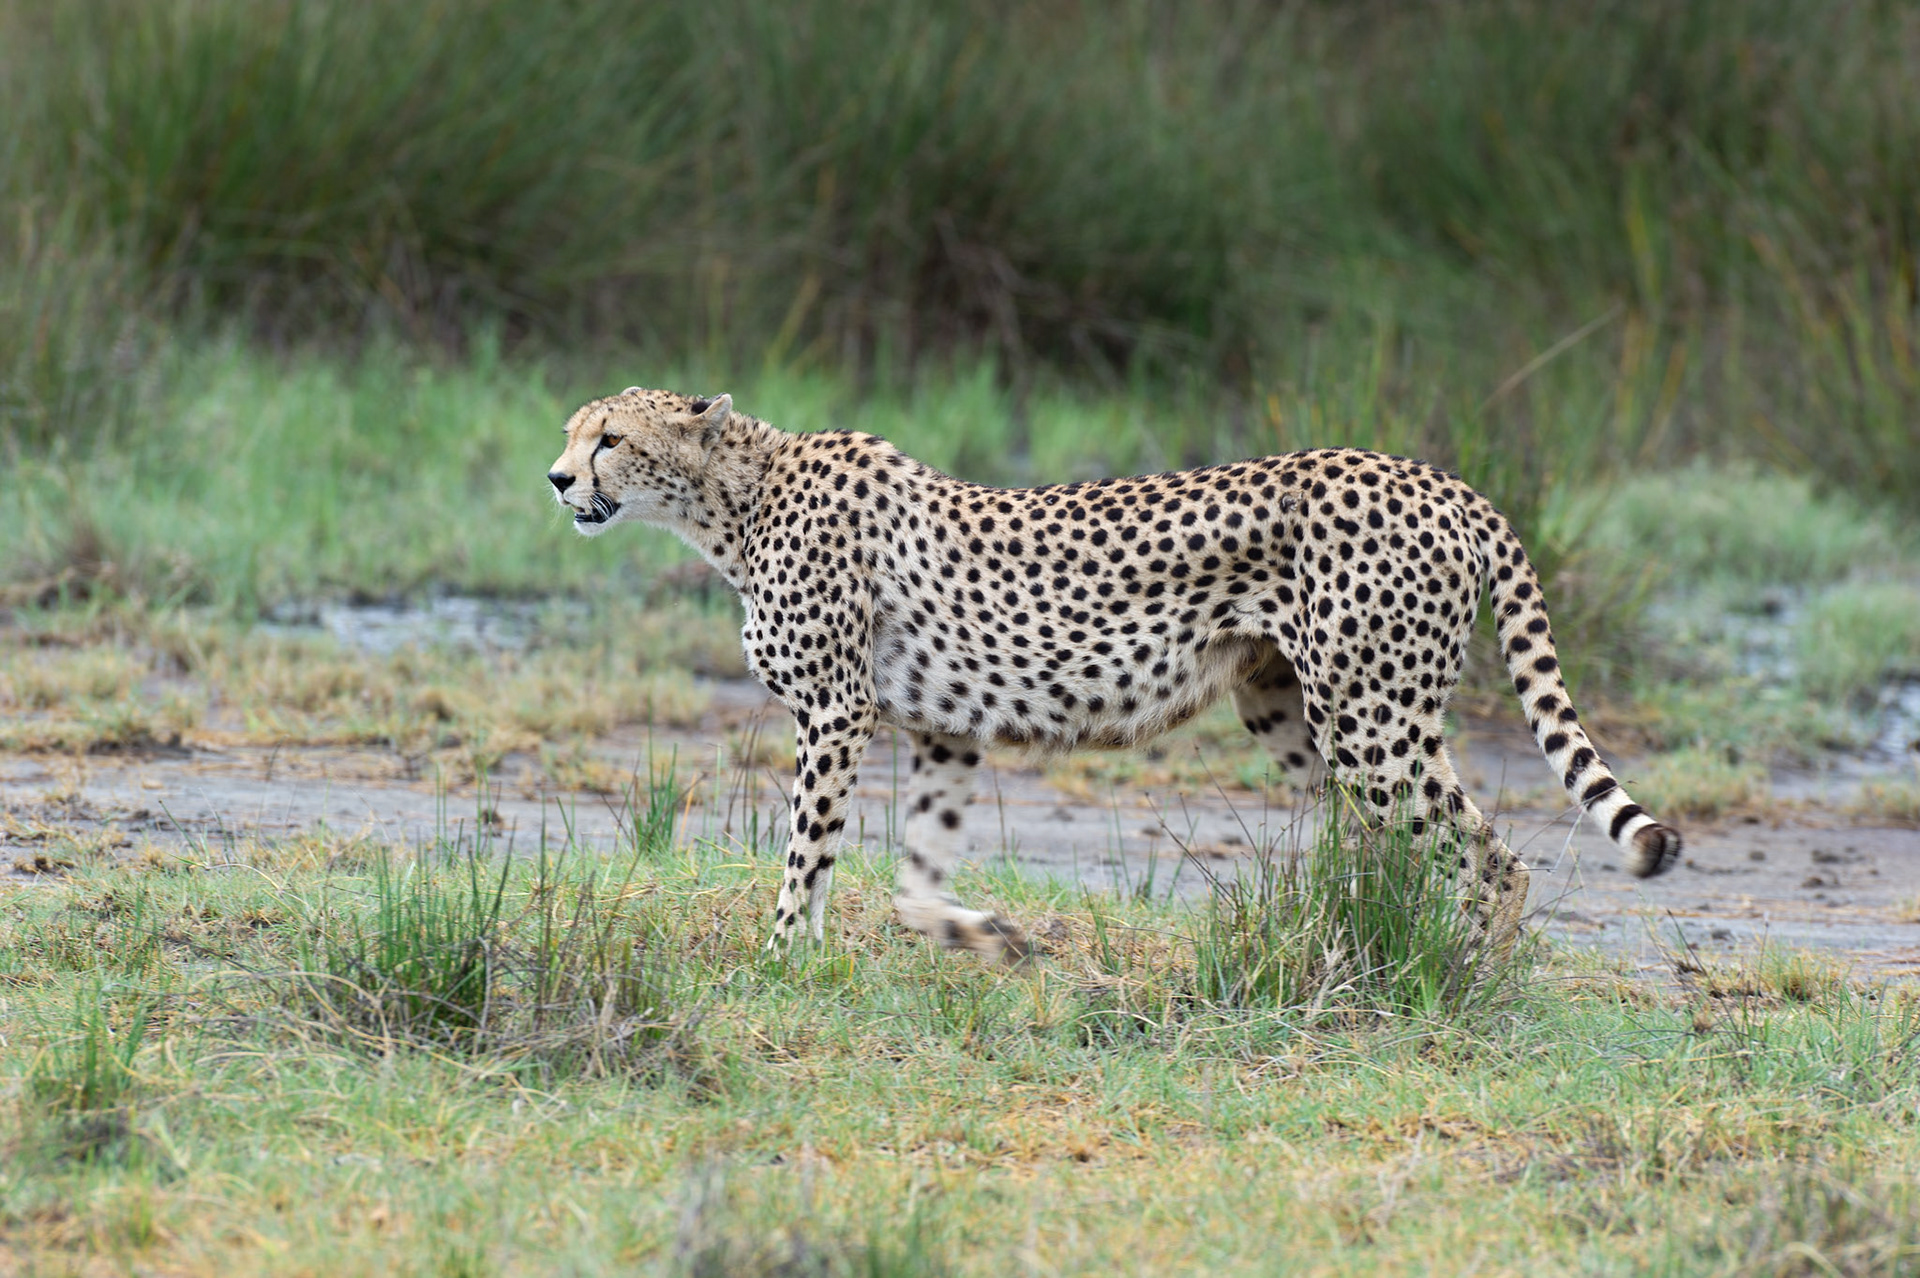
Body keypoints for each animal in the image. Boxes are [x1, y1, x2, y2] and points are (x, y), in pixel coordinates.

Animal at [546, 387, 1682, 962]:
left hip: (1371, 719)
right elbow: (915, 871)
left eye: (611, 439)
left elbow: (805, 853)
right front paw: (983, 935)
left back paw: (1463, 973)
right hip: (1290, 712)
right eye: (571, 434)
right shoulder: (943, 728)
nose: (556, 478)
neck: (734, 500)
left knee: (1491, 859)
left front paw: (781, 960)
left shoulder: (837, 710)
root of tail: (1441, 478)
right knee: (1391, 854)